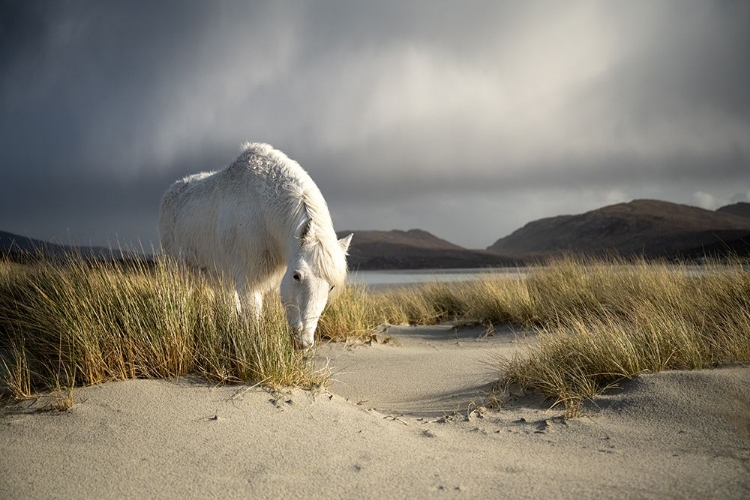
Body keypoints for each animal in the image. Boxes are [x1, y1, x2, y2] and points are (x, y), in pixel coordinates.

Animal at [159, 142, 352, 348]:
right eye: (296, 276)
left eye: (331, 287)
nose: (304, 342)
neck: (264, 211)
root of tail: (169, 193)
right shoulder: (249, 280)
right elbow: (252, 318)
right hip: (176, 269)